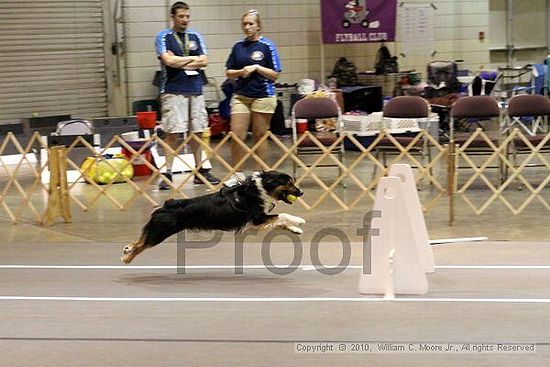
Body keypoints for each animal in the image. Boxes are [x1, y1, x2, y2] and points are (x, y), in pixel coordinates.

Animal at [122, 171, 306, 264]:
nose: (301, 192)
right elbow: (282, 215)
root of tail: (167, 205)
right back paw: (127, 258)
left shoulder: (256, 222)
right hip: (160, 233)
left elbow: (280, 221)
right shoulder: (257, 218)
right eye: (289, 183)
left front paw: (295, 229)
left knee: (139, 241)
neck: (261, 188)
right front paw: (299, 220)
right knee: (142, 245)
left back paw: (127, 249)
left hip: (157, 231)